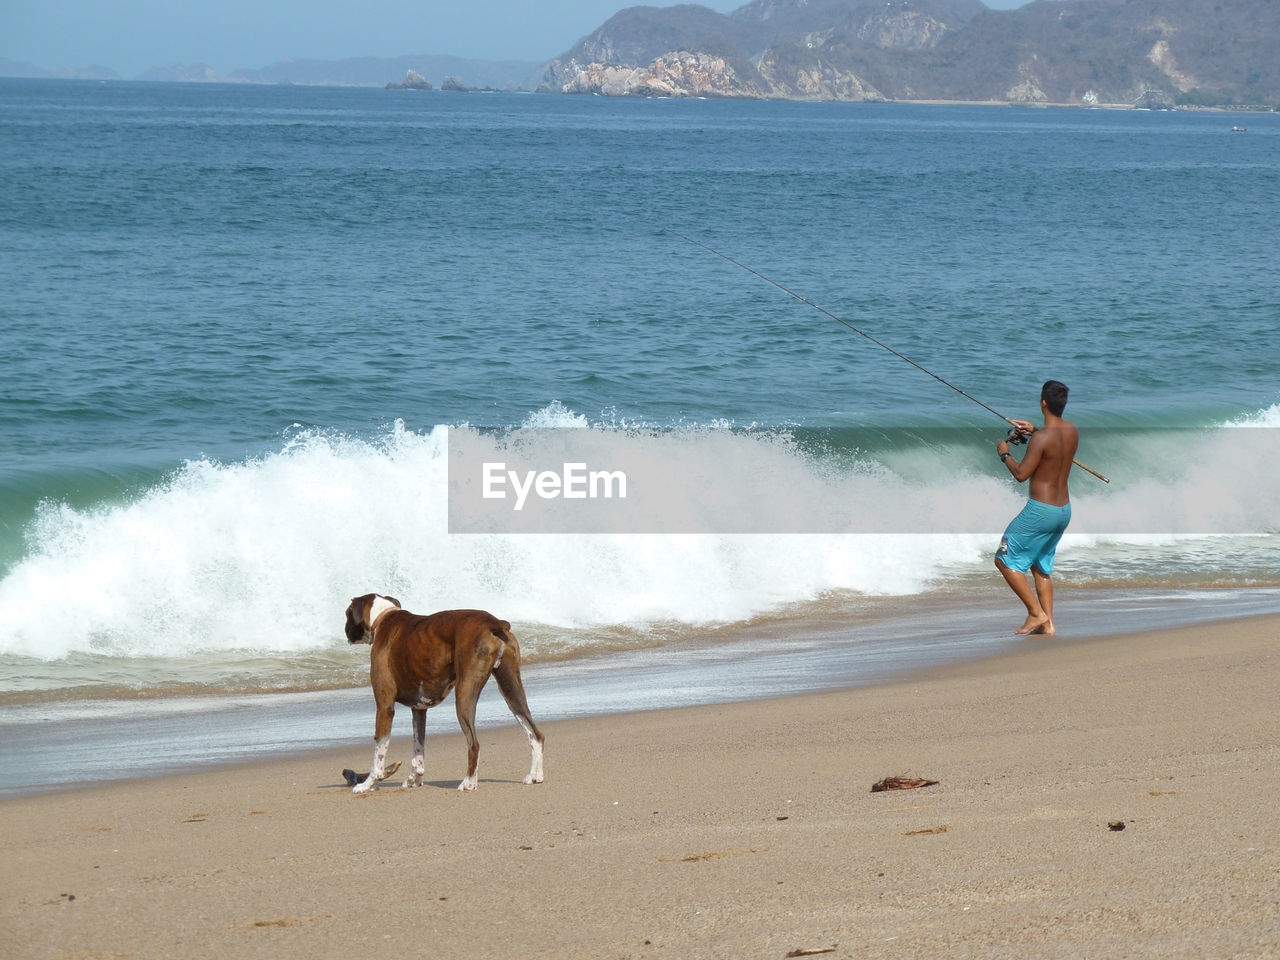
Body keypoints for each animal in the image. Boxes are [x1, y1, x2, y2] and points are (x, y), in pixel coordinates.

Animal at [343, 599, 542, 793]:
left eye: (347, 613)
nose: (345, 629)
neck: (383, 616)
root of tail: (494, 622)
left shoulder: (385, 707)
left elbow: (379, 752)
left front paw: (368, 784)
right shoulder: (419, 710)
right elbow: (418, 751)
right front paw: (414, 779)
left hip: (464, 695)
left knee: (474, 744)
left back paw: (469, 782)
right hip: (512, 692)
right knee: (536, 734)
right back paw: (535, 775)